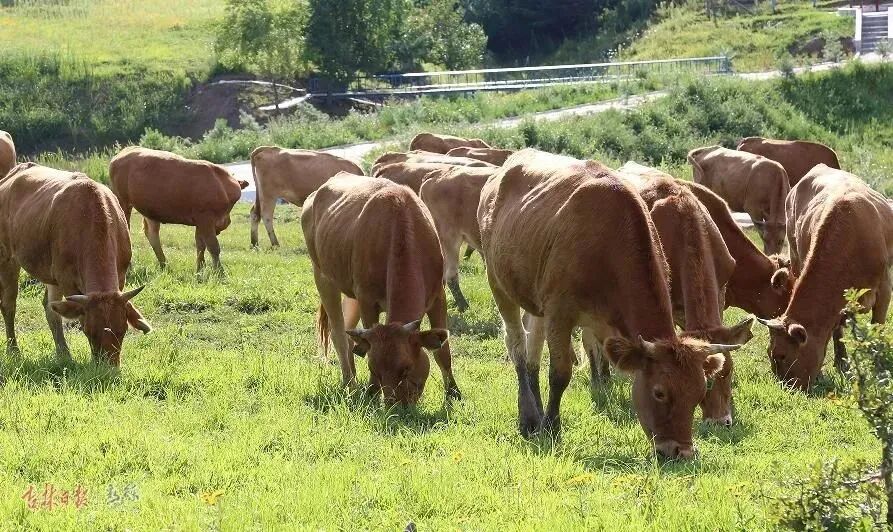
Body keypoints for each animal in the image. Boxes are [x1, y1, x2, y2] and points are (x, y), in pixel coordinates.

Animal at [0, 163, 151, 365]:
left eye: (123, 331)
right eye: (88, 332)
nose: (108, 368)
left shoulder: (120, 277)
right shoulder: (67, 282)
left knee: (50, 309)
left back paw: (62, 352)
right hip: (8, 259)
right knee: (9, 305)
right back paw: (14, 350)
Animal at [109, 147, 248, 271]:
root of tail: (124, 152)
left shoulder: (200, 221)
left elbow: (200, 245)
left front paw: (200, 269)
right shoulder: (206, 218)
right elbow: (213, 246)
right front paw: (219, 272)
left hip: (150, 210)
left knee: (152, 234)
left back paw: (164, 265)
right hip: (122, 202)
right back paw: (130, 268)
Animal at [302, 173, 461, 405]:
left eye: (406, 368)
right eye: (374, 369)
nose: (395, 406)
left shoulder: (438, 297)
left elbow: (443, 353)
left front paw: (453, 393)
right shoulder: (367, 300)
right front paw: (371, 392)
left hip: (350, 292)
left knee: (348, 332)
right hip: (323, 277)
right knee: (339, 334)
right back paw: (350, 384)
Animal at [478, 149, 739, 459]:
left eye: (699, 392)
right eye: (659, 392)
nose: (681, 452)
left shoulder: (606, 324)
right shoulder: (559, 314)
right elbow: (560, 374)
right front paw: (551, 427)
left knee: (533, 347)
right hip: (499, 284)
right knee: (517, 344)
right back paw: (529, 417)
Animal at [756, 165, 893, 391]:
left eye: (781, 355)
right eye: (770, 354)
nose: (786, 389)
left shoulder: (884, 287)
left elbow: (878, 327)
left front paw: (880, 369)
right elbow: (836, 330)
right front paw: (841, 364)